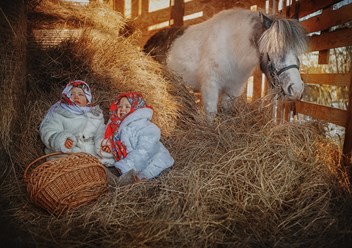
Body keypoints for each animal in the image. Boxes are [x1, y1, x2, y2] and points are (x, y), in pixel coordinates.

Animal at [144, 8, 306, 119]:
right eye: (274, 48)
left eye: (296, 52)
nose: (296, 89)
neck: (232, 48)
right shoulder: (210, 86)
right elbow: (211, 114)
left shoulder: (232, 90)